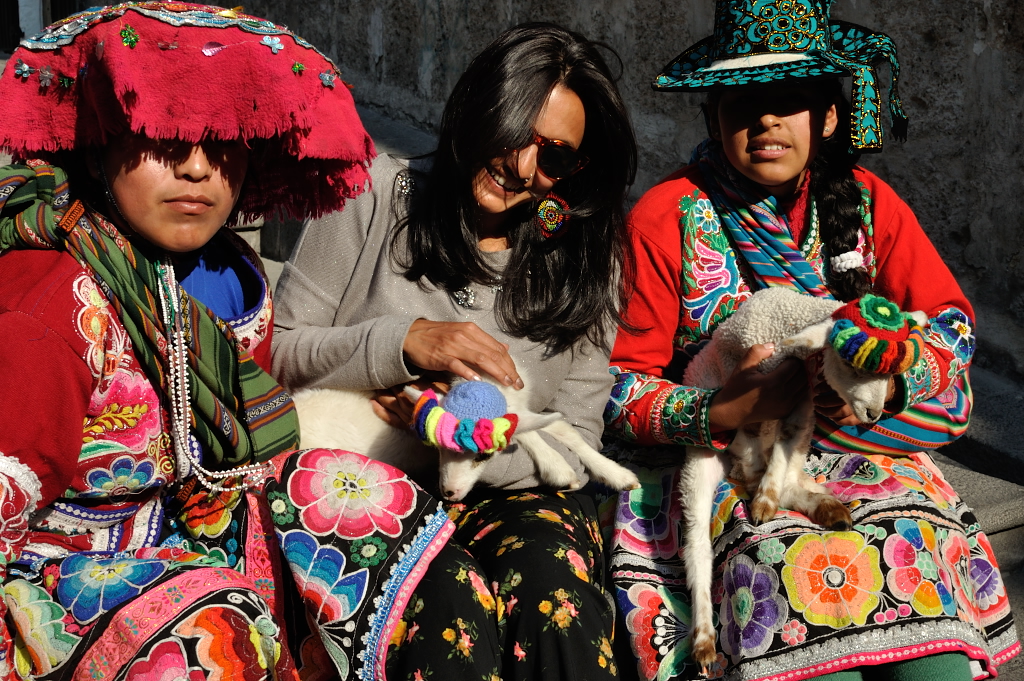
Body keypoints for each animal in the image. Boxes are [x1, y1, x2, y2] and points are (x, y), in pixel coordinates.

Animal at [292, 360, 634, 499]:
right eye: (437, 448)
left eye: (483, 456)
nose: (449, 493)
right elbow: (531, 431)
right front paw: (559, 469)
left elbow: (565, 429)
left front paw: (617, 475)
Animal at [679, 284, 929, 667]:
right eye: (850, 365)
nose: (874, 414)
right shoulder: (767, 390)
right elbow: (764, 457)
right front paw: (763, 504)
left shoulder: (800, 401)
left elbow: (781, 451)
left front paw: (766, 501)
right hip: (700, 458)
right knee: (698, 546)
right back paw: (704, 639)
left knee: (777, 471)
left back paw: (824, 505)